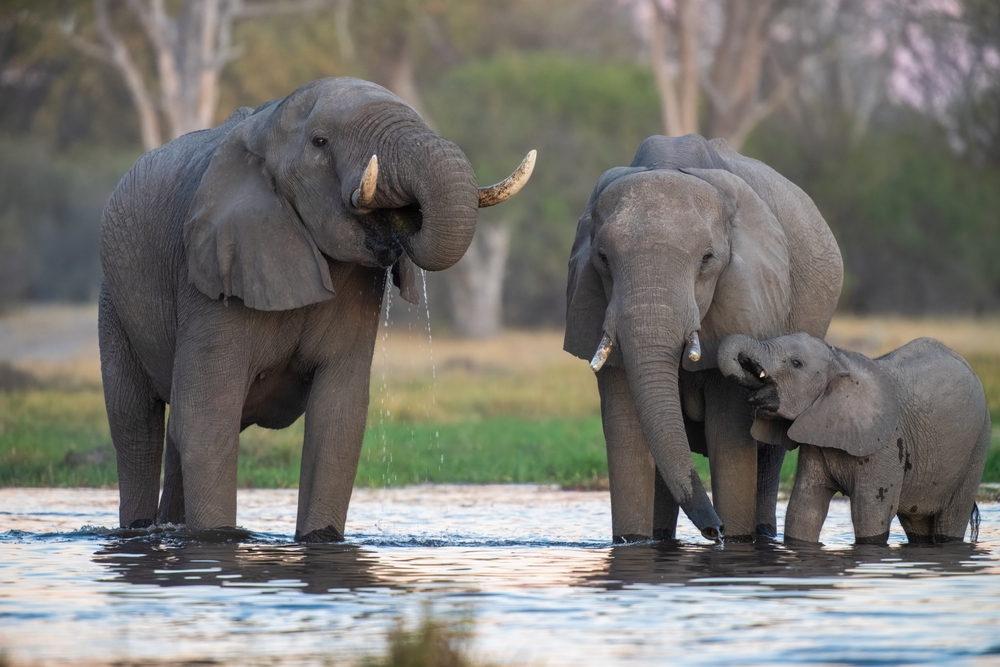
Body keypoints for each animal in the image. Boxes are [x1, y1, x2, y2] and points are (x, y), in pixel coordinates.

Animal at [99, 77, 534, 541]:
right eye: (320, 142)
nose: (401, 216)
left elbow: (338, 418)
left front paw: (319, 541)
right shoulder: (208, 274)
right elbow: (206, 416)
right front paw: (216, 541)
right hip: (114, 301)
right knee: (135, 422)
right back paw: (139, 529)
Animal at [564, 134, 843, 543]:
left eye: (707, 259)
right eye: (602, 258)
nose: (715, 531)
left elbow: (728, 433)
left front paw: (737, 541)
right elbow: (626, 433)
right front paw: (633, 543)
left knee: (768, 454)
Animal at [718, 333, 990, 544]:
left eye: (796, 363)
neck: (839, 359)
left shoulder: (886, 445)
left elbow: (869, 511)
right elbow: (804, 507)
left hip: (978, 444)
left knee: (952, 517)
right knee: (918, 522)